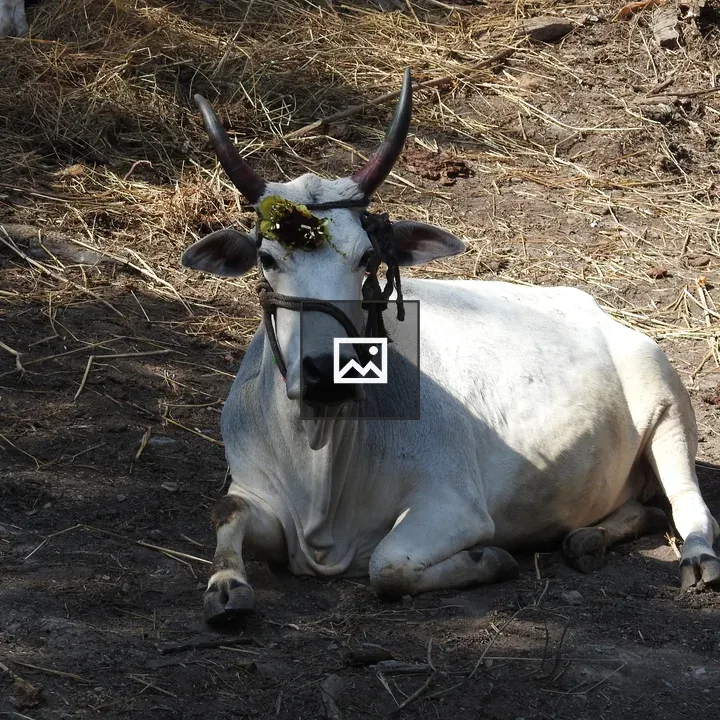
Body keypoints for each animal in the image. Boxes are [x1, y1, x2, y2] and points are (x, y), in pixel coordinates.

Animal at [181, 69, 720, 624]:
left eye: (367, 257)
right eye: (267, 258)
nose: (327, 373)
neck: (318, 455)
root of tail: (598, 311)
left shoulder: (454, 506)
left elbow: (388, 567)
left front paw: (490, 559)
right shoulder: (256, 493)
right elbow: (226, 511)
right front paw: (225, 585)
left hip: (668, 412)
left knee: (687, 504)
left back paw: (696, 559)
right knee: (643, 509)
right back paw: (586, 540)